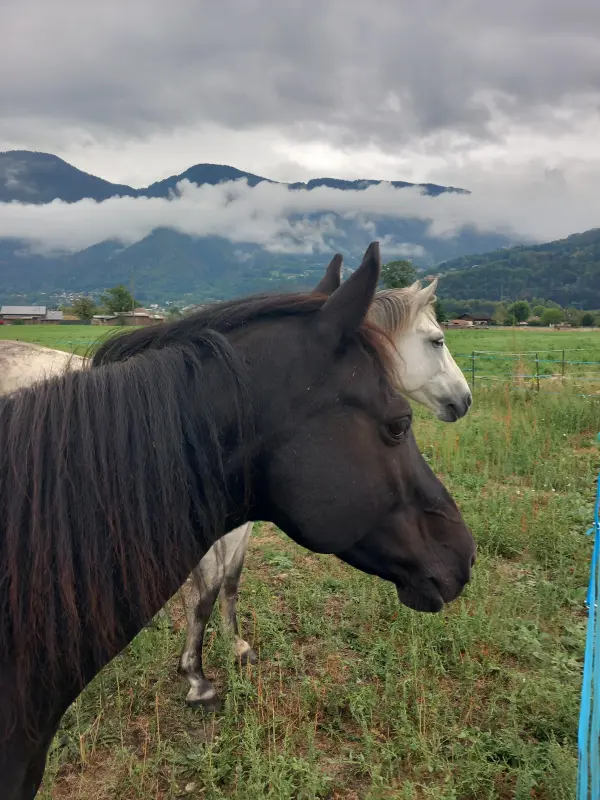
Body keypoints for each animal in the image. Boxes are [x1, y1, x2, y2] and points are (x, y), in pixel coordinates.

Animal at [0, 242, 476, 798]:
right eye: (437, 340)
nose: (464, 400)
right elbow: (205, 593)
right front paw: (197, 678)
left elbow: (229, 582)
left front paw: (235, 648)